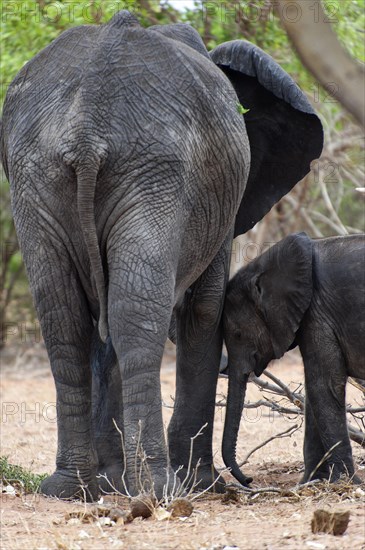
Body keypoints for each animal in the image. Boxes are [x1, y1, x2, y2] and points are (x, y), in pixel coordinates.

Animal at [0, 10, 322, 502]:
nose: (245, 483)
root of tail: (88, 119)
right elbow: (204, 310)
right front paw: (201, 483)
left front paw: (113, 480)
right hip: (154, 174)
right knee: (134, 315)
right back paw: (159, 487)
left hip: (40, 174)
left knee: (66, 318)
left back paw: (70, 488)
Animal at [220, 233, 362, 488]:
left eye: (237, 334)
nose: (248, 479)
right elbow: (315, 393)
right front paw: (313, 481)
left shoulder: (318, 314)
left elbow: (323, 386)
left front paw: (344, 484)